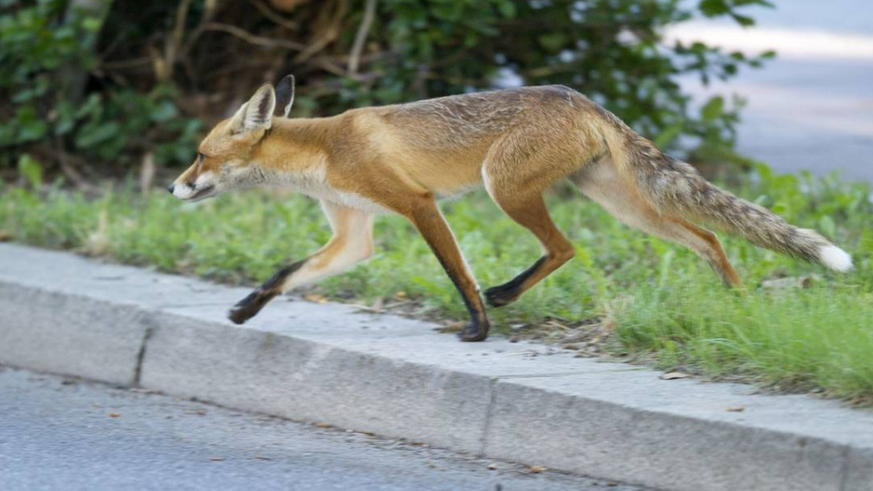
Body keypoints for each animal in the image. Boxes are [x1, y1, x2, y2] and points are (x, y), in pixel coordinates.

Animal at [169, 77, 852, 344]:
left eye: (201, 155)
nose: (173, 189)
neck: (323, 150)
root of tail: (579, 96)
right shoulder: (354, 234)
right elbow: (287, 272)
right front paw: (244, 310)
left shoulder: (416, 204)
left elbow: (457, 272)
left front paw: (476, 327)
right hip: (621, 205)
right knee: (710, 240)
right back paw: (739, 309)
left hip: (505, 187)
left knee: (567, 247)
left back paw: (501, 299)